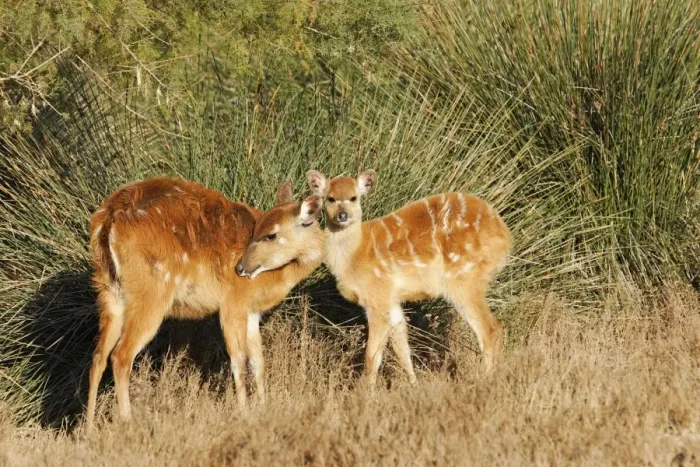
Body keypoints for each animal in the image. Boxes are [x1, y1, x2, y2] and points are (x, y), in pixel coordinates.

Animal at [86, 176, 323, 430]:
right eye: (262, 231)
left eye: (270, 234)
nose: (241, 268)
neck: (275, 276)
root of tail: (108, 219)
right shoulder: (233, 303)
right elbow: (239, 360)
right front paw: (244, 414)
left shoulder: (251, 312)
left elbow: (258, 362)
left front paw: (263, 409)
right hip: (151, 293)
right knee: (120, 356)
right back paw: (128, 422)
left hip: (109, 291)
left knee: (98, 356)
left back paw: (87, 428)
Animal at [305, 169, 512, 385]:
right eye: (330, 198)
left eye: (354, 197)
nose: (342, 216)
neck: (354, 255)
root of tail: (504, 236)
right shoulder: (393, 301)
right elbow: (402, 350)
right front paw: (414, 385)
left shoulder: (378, 297)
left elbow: (372, 355)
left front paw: (366, 391)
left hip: (464, 279)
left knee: (490, 329)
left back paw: (485, 380)